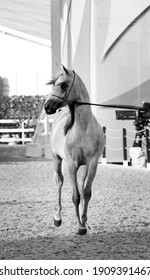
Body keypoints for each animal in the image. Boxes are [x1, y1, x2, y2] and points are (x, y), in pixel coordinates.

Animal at [44, 66, 103, 234]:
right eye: (54, 84)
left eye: (64, 85)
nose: (47, 107)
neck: (83, 129)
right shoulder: (71, 165)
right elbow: (75, 196)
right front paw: (79, 227)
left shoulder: (92, 164)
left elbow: (86, 193)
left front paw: (83, 223)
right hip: (57, 160)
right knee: (59, 182)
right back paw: (58, 218)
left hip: (83, 168)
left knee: (82, 188)